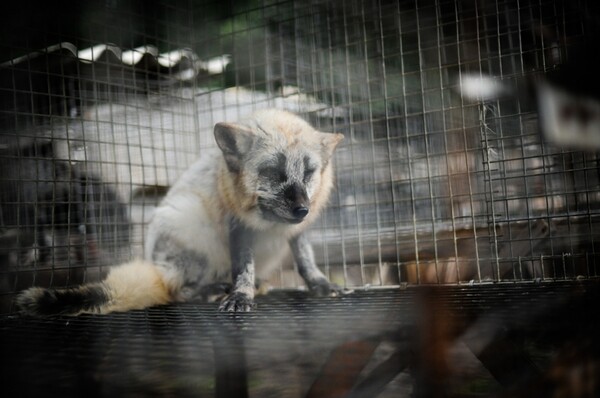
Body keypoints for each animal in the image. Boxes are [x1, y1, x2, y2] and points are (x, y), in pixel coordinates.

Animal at [16, 109, 344, 314]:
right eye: (273, 172)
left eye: (309, 172)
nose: (302, 209)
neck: (270, 224)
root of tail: (157, 267)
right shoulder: (237, 225)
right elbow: (243, 268)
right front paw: (240, 295)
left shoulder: (298, 231)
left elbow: (305, 260)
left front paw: (320, 284)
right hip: (189, 226)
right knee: (178, 291)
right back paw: (212, 289)